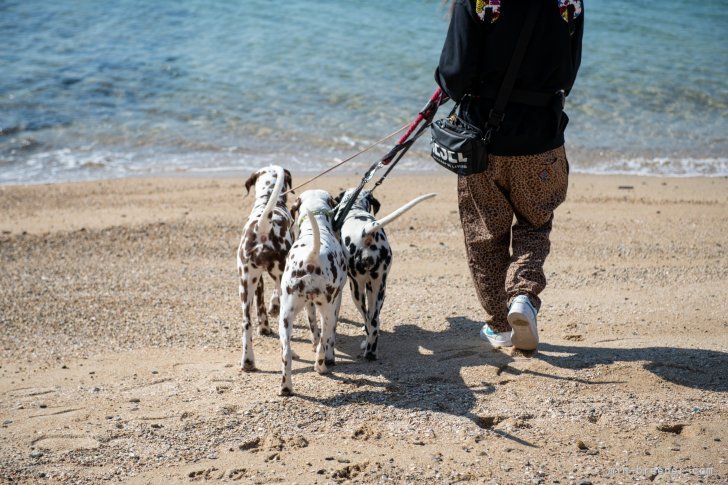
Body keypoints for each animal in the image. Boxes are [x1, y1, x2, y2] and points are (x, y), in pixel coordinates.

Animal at [240, 165, 294, 370]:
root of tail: (263, 225)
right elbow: (272, 299)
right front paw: (273, 307)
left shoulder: (259, 280)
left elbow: (260, 307)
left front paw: (264, 327)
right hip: (281, 277)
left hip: (245, 284)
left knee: (246, 324)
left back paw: (248, 361)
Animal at [278, 187, 348, 396]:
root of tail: (312, 257)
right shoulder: (337, 302)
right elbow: (327, 340)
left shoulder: (309, 306)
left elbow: (313, 330)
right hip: (328, 311)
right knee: (324, 342)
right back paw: (321, 367)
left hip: (285, 317)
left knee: (286, 353)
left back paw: (286, 387)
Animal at [336, 189, 438, 360]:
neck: (354, 207)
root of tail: (367, 231)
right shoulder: (371, 287)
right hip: (380, 288)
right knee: (374, 322)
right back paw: (371, 351)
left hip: (356, 288)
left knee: (367, 320)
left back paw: (368, 351)